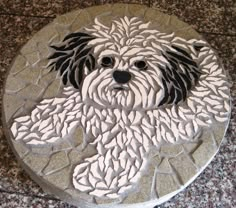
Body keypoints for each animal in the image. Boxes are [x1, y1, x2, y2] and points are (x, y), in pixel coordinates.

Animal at [11, 17, 230, 200]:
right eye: (106, 60)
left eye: (141, 64)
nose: (121, 75)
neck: (117, 104)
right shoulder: (81, 100)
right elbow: (60, 107)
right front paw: (32, 127)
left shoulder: (132, 133)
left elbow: (117, 155)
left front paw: (96, 178)